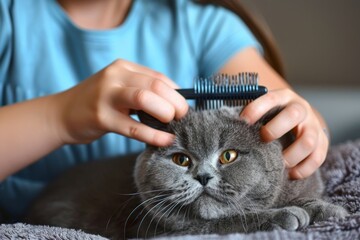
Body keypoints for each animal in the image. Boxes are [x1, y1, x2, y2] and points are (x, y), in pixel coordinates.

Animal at [23, 107, 348, 240]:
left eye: (228, 156)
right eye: (181, 159)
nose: (202, 176)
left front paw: (329, 209)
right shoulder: (165, 231)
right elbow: (231, 221)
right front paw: (288, 215)